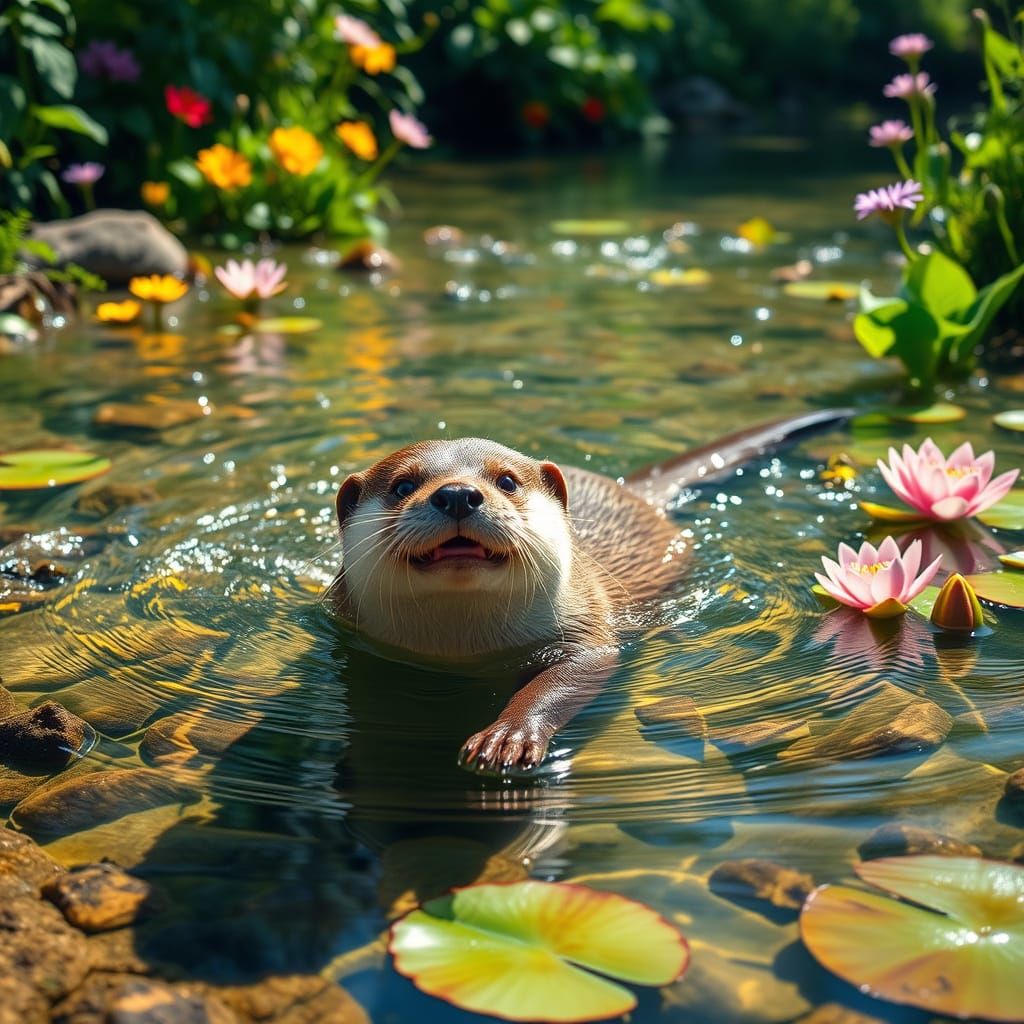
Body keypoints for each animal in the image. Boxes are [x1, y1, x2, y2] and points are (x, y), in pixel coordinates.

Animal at [328, 410, 848, 775]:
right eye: (403, 486)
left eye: (506, 480)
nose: (457, 493)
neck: (462, 646)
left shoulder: (586, 624)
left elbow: (573, 673)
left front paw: (508, 736)